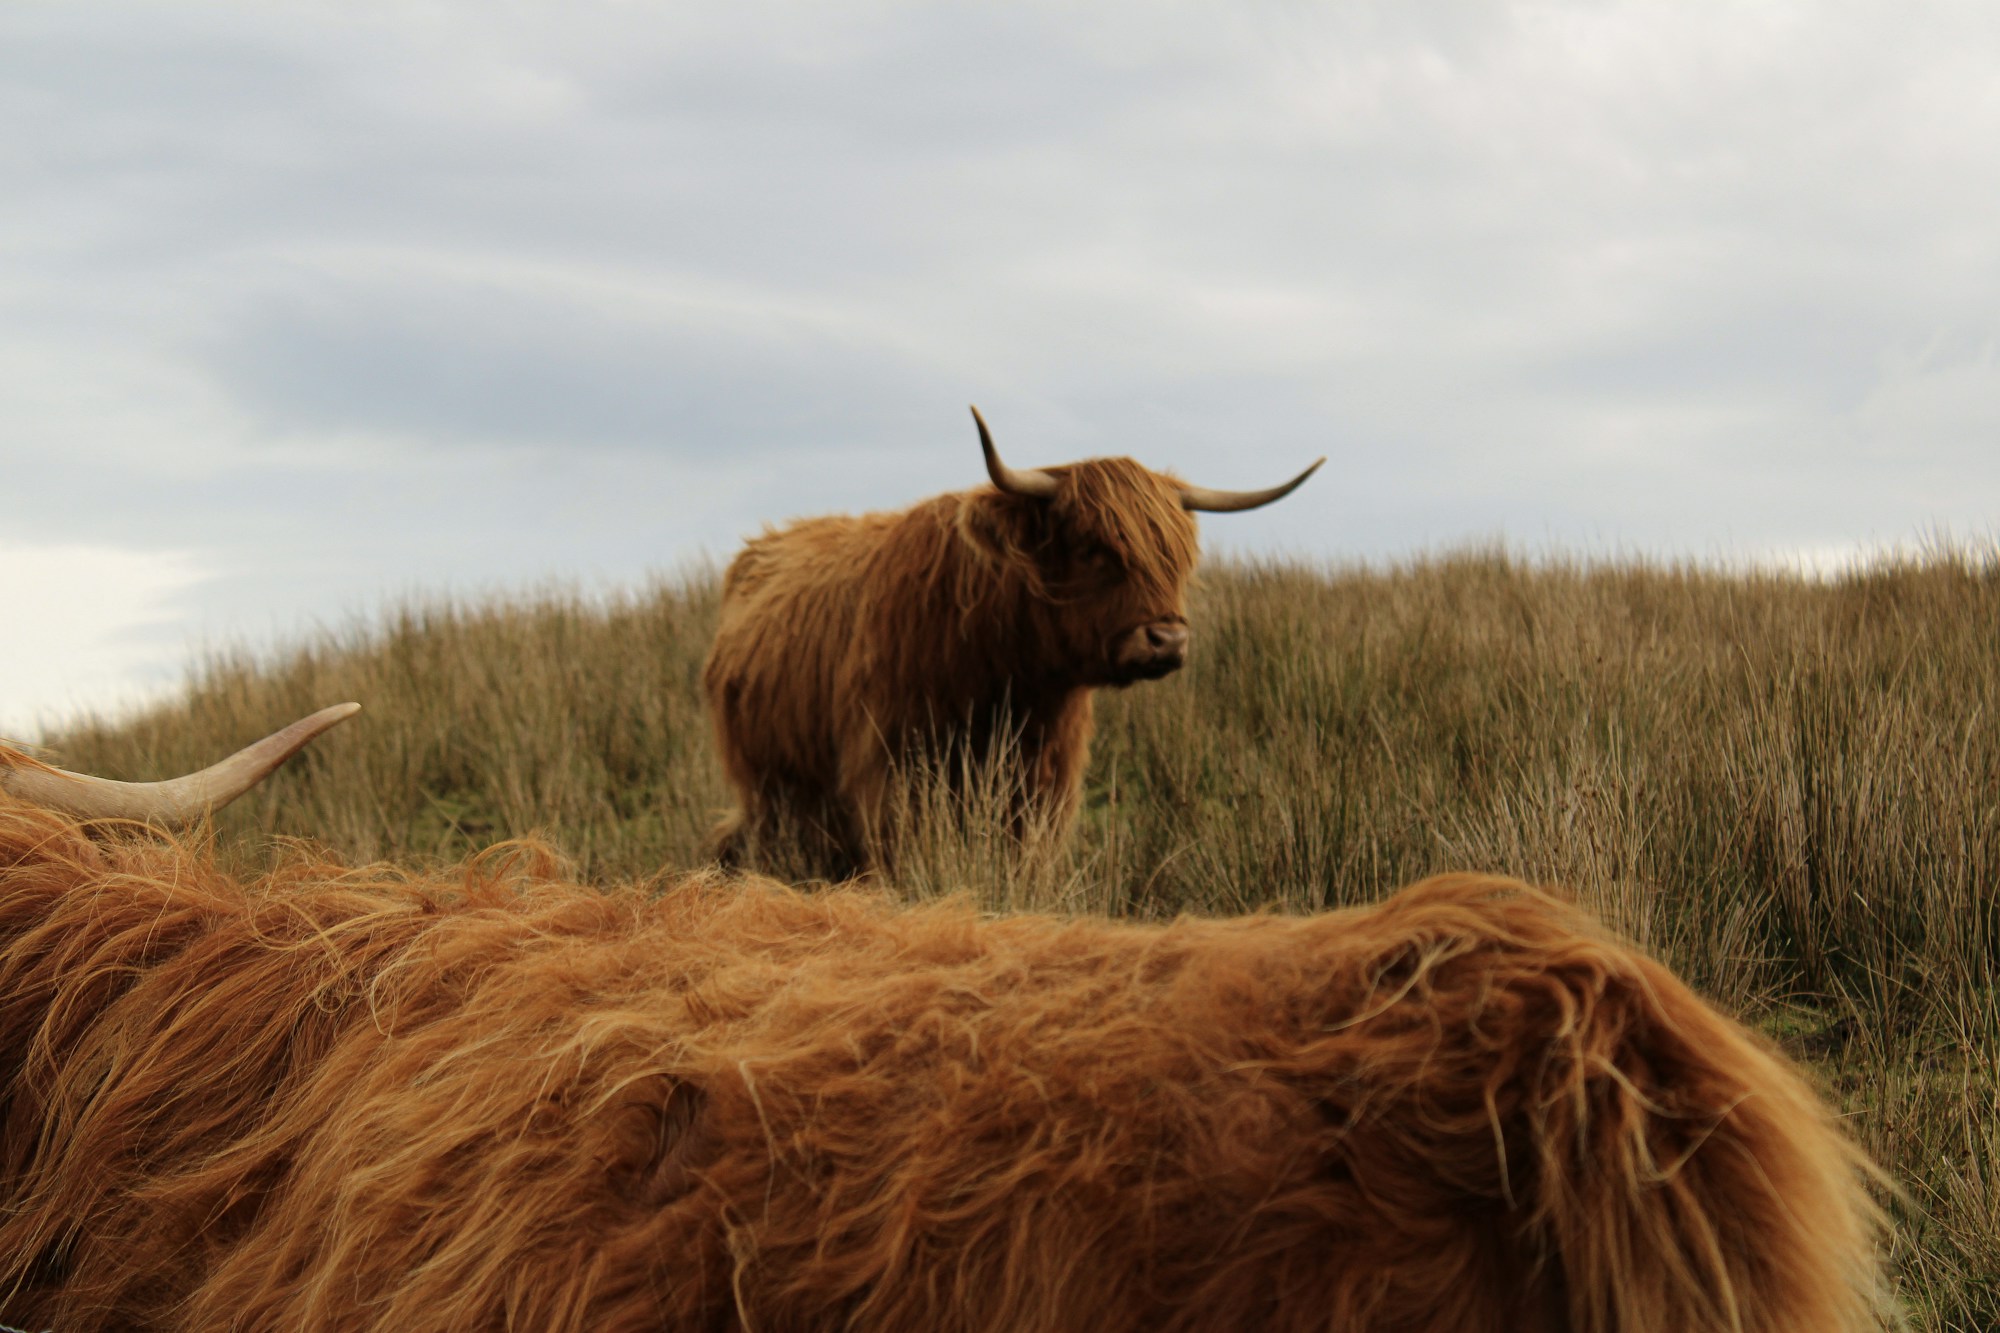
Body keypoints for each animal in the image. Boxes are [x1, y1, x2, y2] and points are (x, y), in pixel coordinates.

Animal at [703, 407, 1323, 878]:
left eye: (1175, 557)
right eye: (1094, 549)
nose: (1167, 640)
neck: (1005, 677)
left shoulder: (1043, 783)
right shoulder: (892, 772)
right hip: (771, 786)